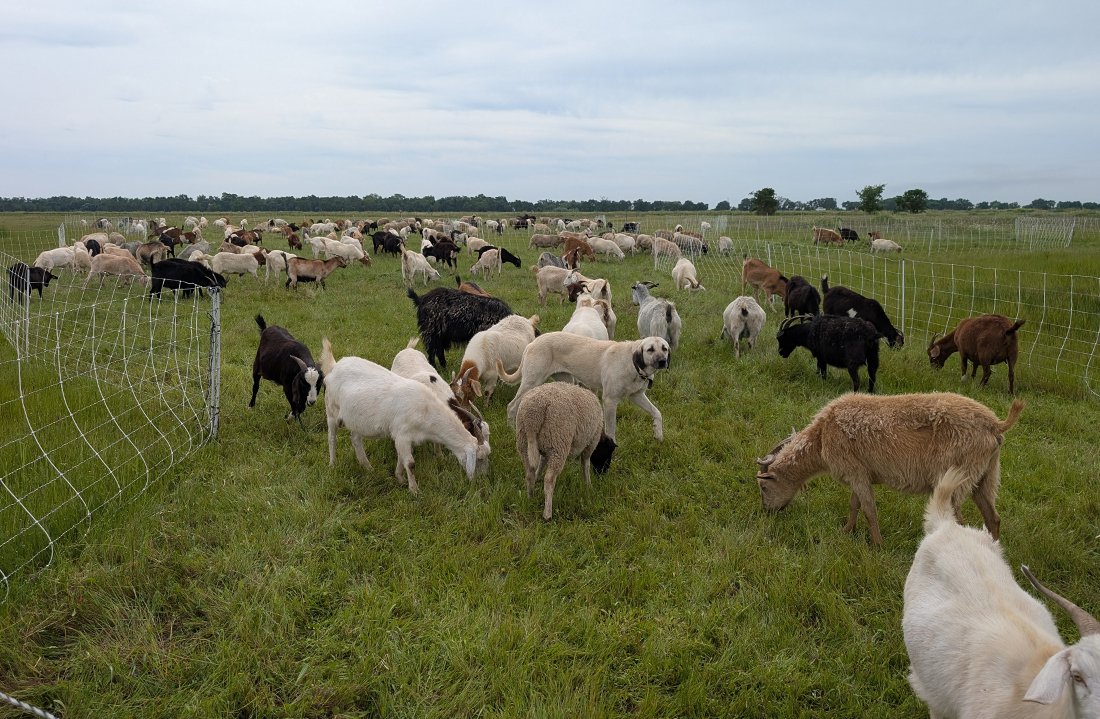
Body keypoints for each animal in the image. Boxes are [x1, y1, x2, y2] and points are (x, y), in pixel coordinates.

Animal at [515, 383, 617, 519]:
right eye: (608, 454)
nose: (602, 474)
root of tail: (533, 414)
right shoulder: (591, 442)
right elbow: (585, 463)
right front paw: (588, 485)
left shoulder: (546, 448)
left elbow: (542, 461)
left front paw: (538, 476)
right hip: (558, 443)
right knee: (549, 479)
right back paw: (547, 514)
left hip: (525, 443)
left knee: (529, 473)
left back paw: (531, 497)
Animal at [756, 393, 1024, 546]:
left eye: (763, 486)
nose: (767, 512)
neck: (822, 436)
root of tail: (995, 425)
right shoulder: (860, 473)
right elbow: (855, 504)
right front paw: (847, 531)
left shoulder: (855, 470)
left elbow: (869, 510)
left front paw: (878, 545)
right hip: (986, 474)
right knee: (993, 517)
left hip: (958, 476)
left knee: (958, 520)